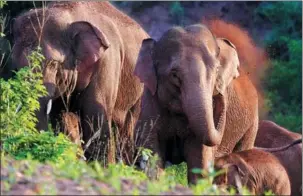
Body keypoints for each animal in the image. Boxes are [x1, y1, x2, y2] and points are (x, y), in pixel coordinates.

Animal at [11, 1, 149, 164]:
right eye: (16, 65)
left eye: (53, 63)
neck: (69, 14)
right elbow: (62, 119)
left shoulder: (107, 62)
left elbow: (95, 119)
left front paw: (103, 167)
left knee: (129, 129)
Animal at [134, 22, 260, 184]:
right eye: (174, 75)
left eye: (216, 70)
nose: (220, 93)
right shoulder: (150, 101)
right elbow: (152, 154)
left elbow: (200, 161)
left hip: (251, 126)